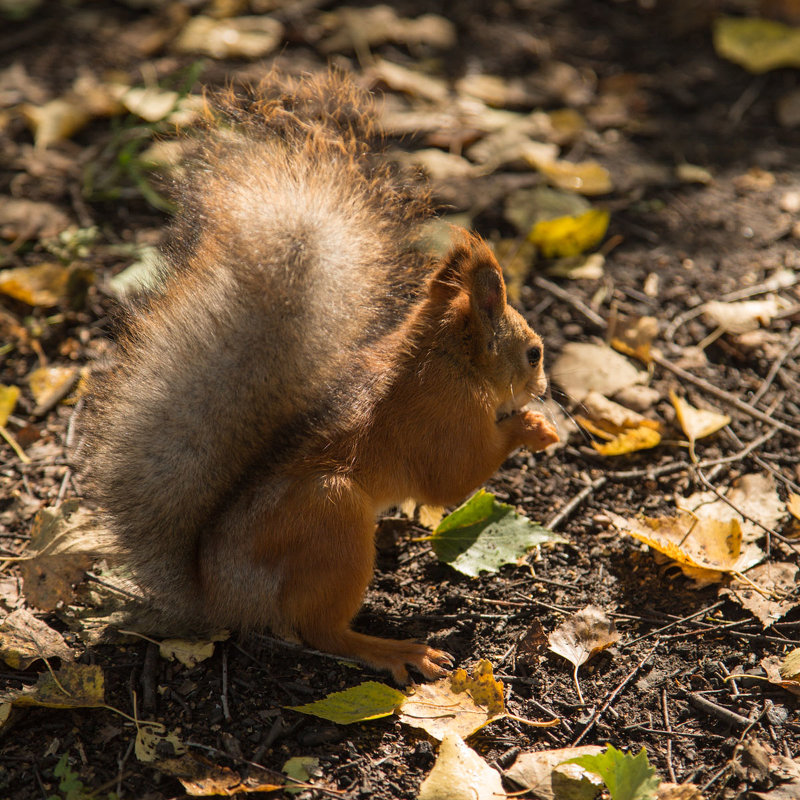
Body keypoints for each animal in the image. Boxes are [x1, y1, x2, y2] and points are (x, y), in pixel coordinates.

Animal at [79, 73, 556, 680]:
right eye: (534, 354)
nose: (545, 389)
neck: (445, 359)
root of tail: (221, 600)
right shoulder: (444, 420)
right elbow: (454, 479)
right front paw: (532, 428)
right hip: (332, 519)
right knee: (322, 630)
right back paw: (396, 650)